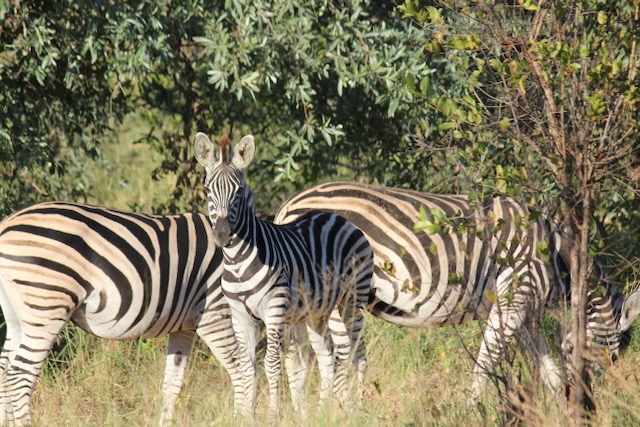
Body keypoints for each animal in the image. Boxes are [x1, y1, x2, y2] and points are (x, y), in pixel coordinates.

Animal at [0, 202, 245, 426]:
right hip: (46, 303)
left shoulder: (184, 327)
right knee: (21, 375)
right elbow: (243, 368)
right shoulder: (215, 313)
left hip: (17, 315)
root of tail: (8, 224)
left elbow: (173, 383)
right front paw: (244, 418)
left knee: (4, 369)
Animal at [194, 133, 374, 423]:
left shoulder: (274, 309)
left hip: (352, 300)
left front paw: (271, 417)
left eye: (238, 192)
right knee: (327, 357)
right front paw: (247, 418)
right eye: (209, 190)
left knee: (358, 352)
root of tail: (337, 216)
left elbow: (271, 363)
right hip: (316, 313)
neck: (237, 262)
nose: (221, 235)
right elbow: (247, 366)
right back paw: (321, 414)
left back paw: (357, 409)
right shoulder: (240, 315)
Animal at [273, 181, 628, 401]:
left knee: (298, 361)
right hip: (334, 296)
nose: (599, 397)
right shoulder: (515, 295)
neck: (554, 254)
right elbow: (486, 362)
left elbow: (549, 370)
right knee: (331, 358)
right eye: (615, 351)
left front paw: (557, 409)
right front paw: (473, 409)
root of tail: (288, 205)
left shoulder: (524, 310)